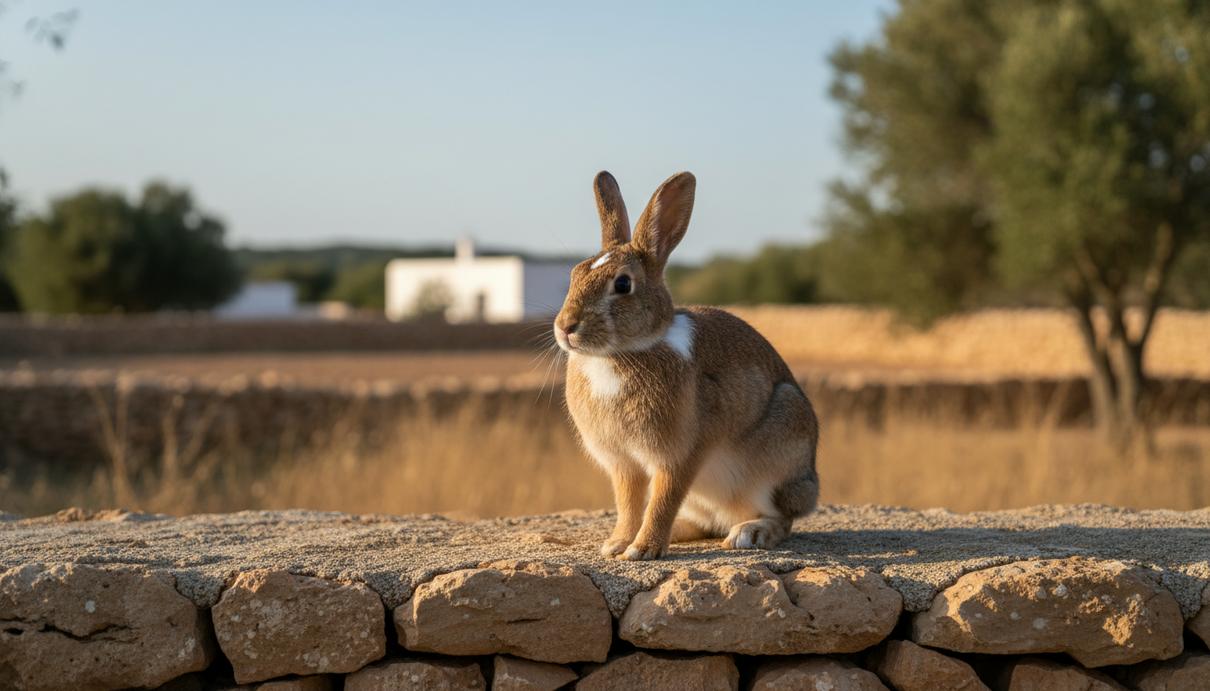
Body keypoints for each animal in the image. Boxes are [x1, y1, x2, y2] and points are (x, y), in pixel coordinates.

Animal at [553, 170, 820, 560]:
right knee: (704, 522)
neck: (624, 351)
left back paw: (749, 533)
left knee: (782, 519)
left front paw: (642, 549)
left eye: (623, 284)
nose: (566, 327)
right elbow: (629, 503)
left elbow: (663, 500)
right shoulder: (624, 464)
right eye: (574, 274)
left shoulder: (680, 455)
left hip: (779, 459)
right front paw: (618, 544)